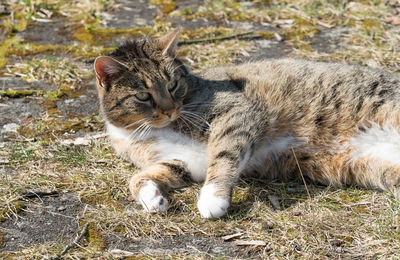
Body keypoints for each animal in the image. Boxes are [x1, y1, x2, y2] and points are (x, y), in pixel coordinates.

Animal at [92, 29, 400, 218]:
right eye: (143, 95)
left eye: (173, 85)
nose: (169, 110)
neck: (144, 132)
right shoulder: (183, 163)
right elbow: (137, 178)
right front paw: (151, 198)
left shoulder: (238, 113)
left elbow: (224, 156)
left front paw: (213, 199)